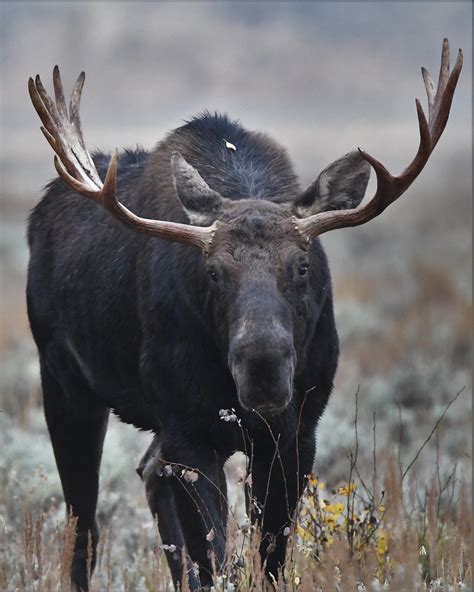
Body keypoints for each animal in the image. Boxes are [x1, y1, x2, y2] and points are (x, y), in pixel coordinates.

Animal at [27, 39, 462, 588]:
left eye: (302, 266)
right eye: (213, 272)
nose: (264, 367)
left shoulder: (296, 431)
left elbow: (270, 555)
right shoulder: (189, 429)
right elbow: (213, 553)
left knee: (148, 472)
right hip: (65, 382)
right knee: (83, 525)